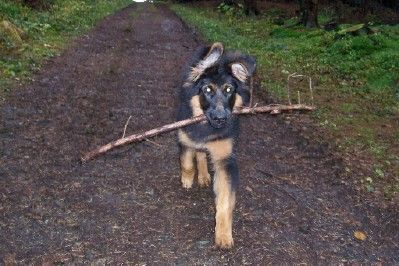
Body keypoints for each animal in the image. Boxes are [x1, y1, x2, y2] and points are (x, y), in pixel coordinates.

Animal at [177, 42, 256, 248]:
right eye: (207, 90)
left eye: (229, 90)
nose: (221, 119)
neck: (207, 128)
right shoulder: (185, 136)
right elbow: (187, 162)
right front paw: (187, 179)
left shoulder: (225, 159)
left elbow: (225, 201)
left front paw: (224, 234)